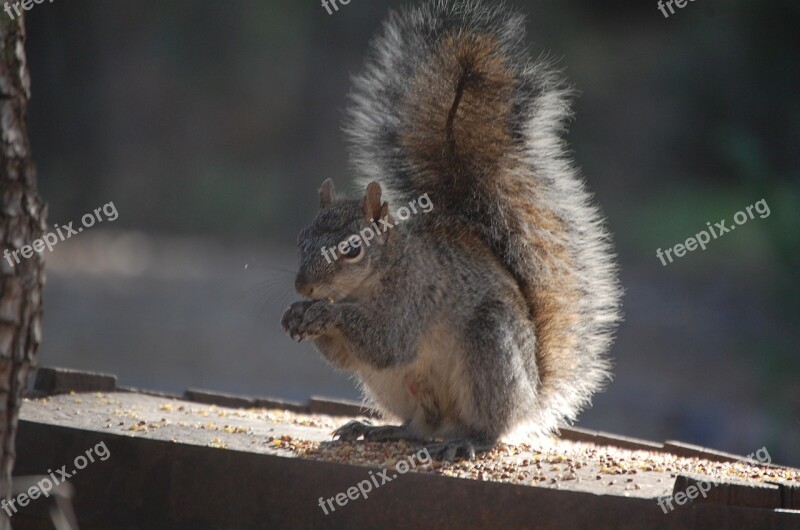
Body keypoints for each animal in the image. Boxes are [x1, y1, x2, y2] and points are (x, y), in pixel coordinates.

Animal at [280, 0, 620, 458]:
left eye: (352, 248)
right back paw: (381, 429)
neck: (371, 281)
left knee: (488, 426)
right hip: (399, 388)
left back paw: (467, 442)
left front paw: (324, 312)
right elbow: (348, 357)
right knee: (420, 426)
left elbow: (387, 343)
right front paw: (297, 314)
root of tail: (530, 399)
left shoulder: (414, 296)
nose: (304, 287)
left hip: (489, 348)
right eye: (301, 239)